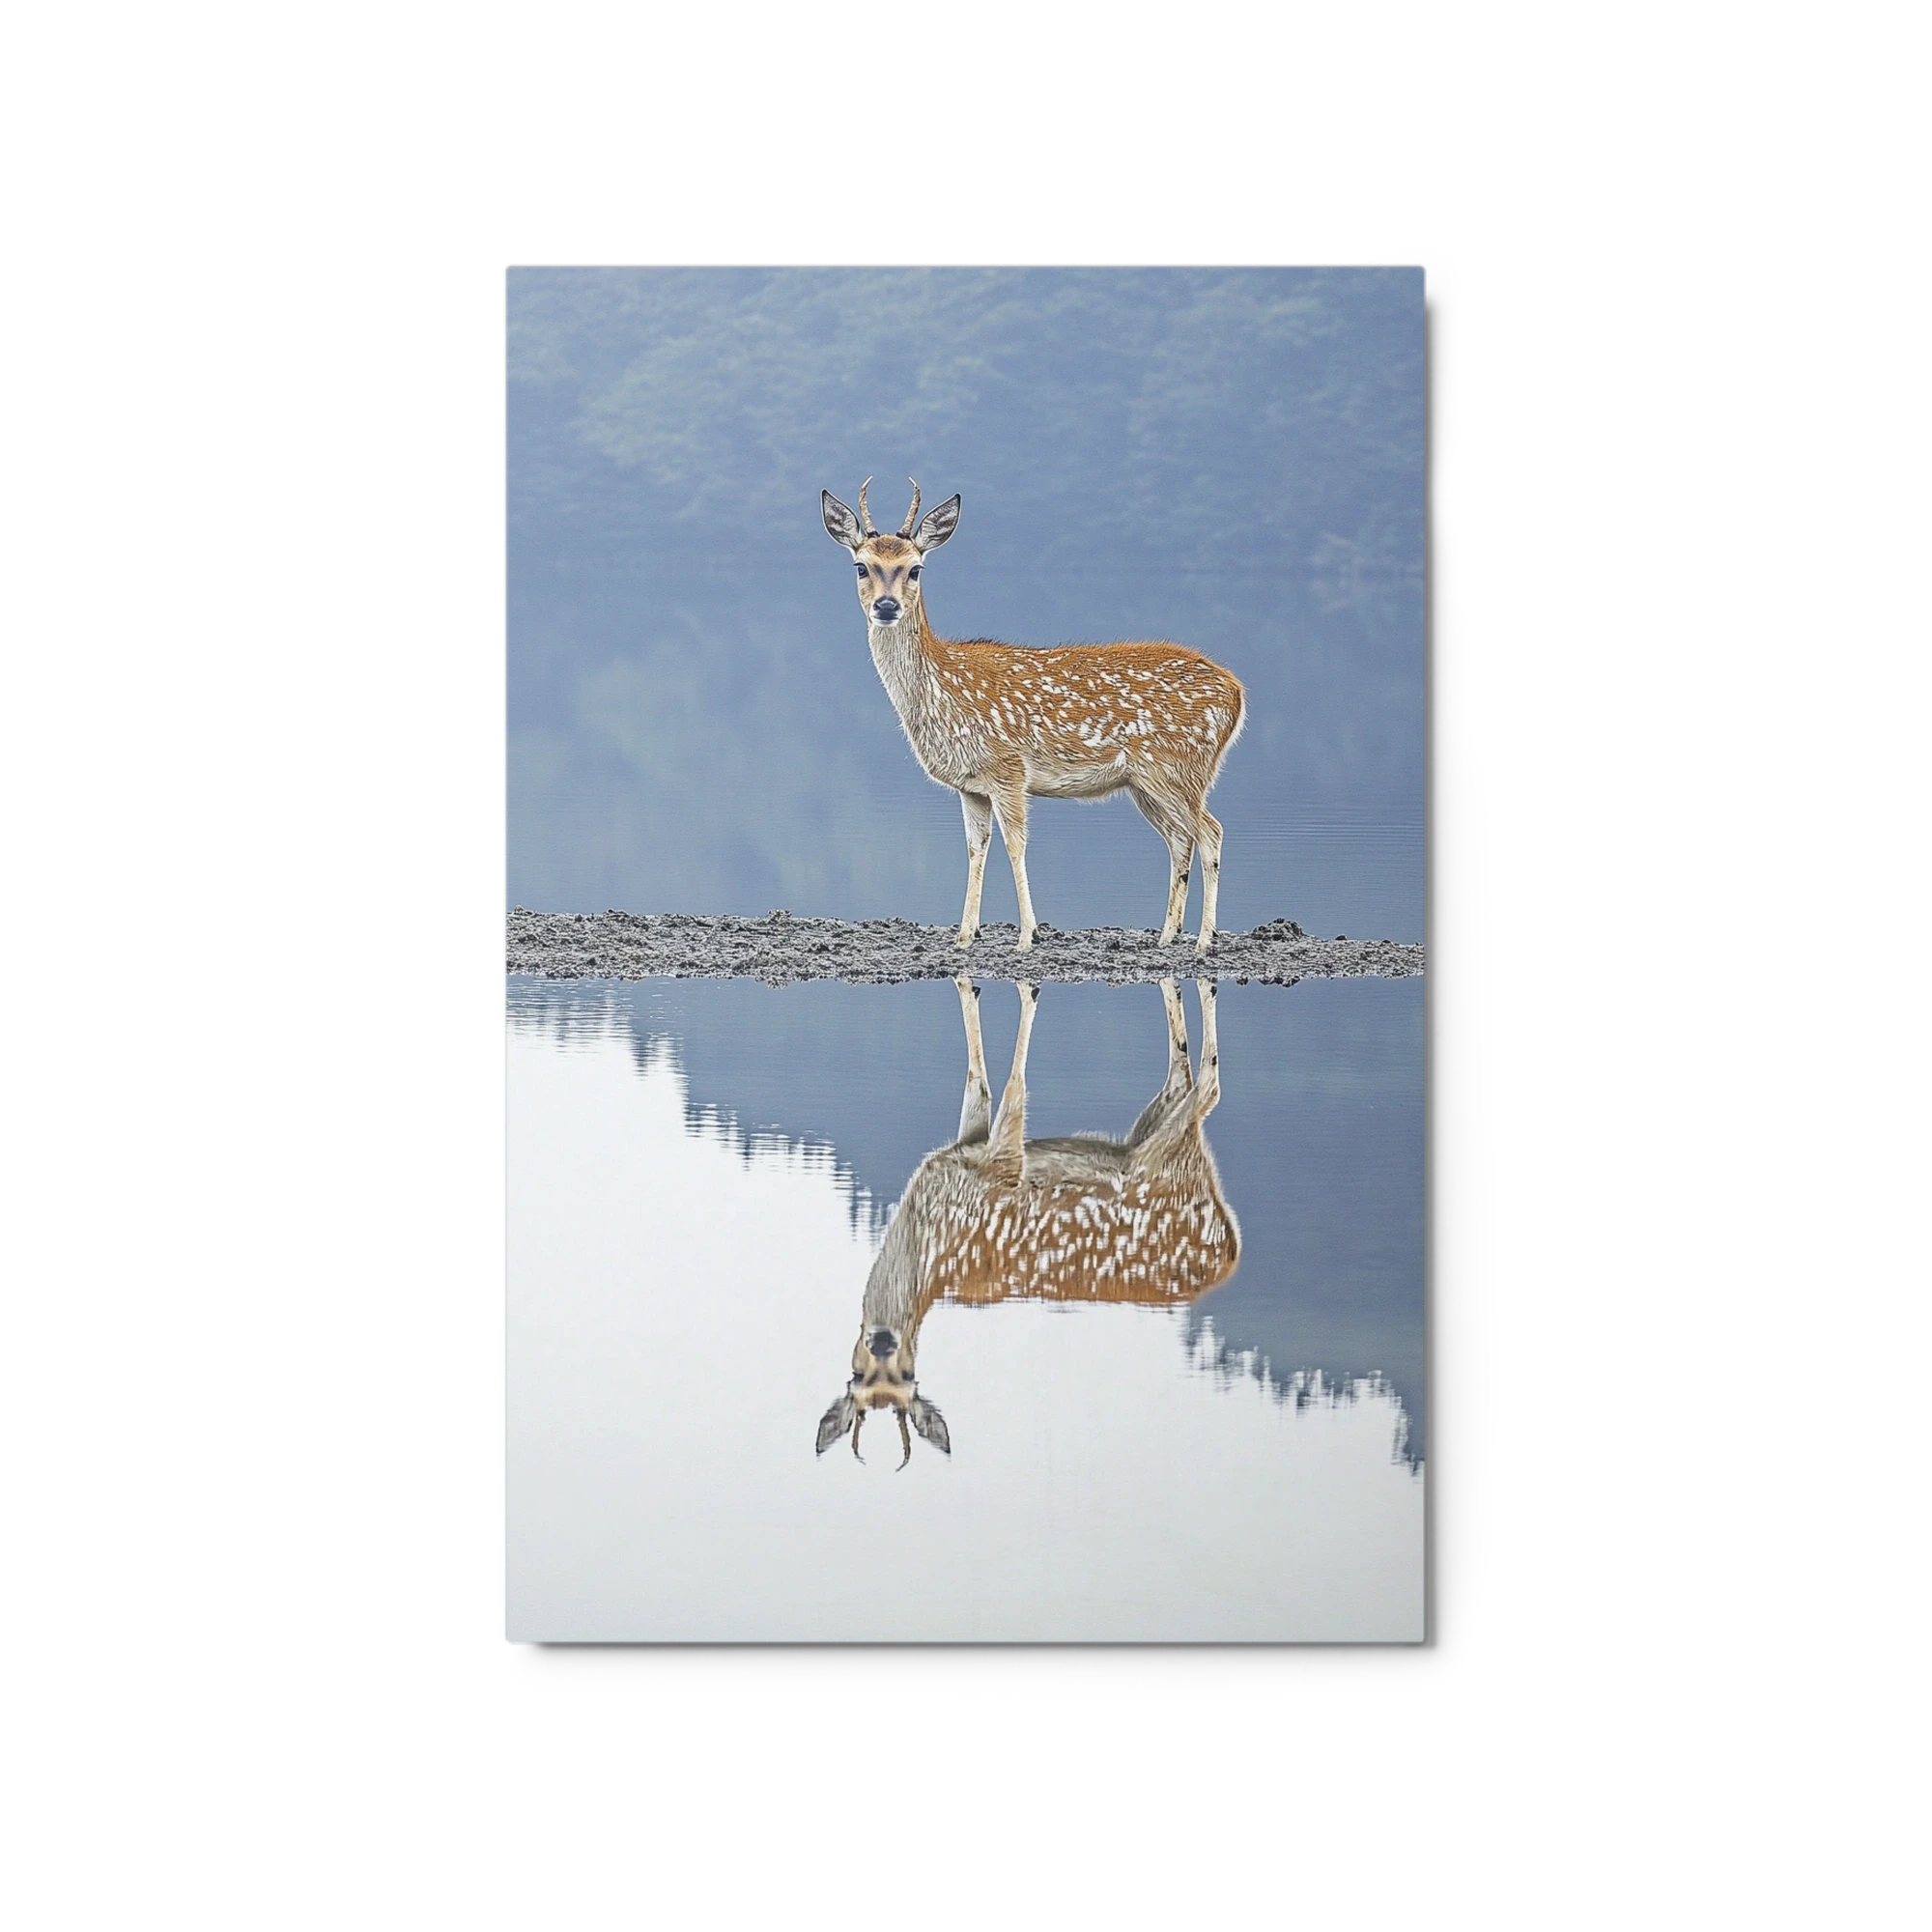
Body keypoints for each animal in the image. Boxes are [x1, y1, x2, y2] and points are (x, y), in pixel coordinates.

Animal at [816, 974, 1240, 1468]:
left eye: (908, 1373)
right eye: (858, 1376)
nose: (883, 1341)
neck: (928, 1238)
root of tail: (1229, 1248)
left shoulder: (1001, 1163)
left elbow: (1013, 1086)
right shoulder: (970, 1143)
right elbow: (977, 1084)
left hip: (1168, 1154)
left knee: (1208, 1085)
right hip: (1154, 1132)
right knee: (1184, 1076)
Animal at [821, 479, 1247, 954]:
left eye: (915, 569)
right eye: (861, 567)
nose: (887, 606)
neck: (942, 689)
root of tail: (1237, 691)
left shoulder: (1009, 769)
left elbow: (1015, 846)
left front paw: (1028, 935)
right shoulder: (971, 785)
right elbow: (976, 848)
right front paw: (964, 935)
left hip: (1178, 766)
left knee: (1210, 832)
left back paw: (1204, 939)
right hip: (1147, 782)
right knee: (1179, 838)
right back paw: (1167, 934)